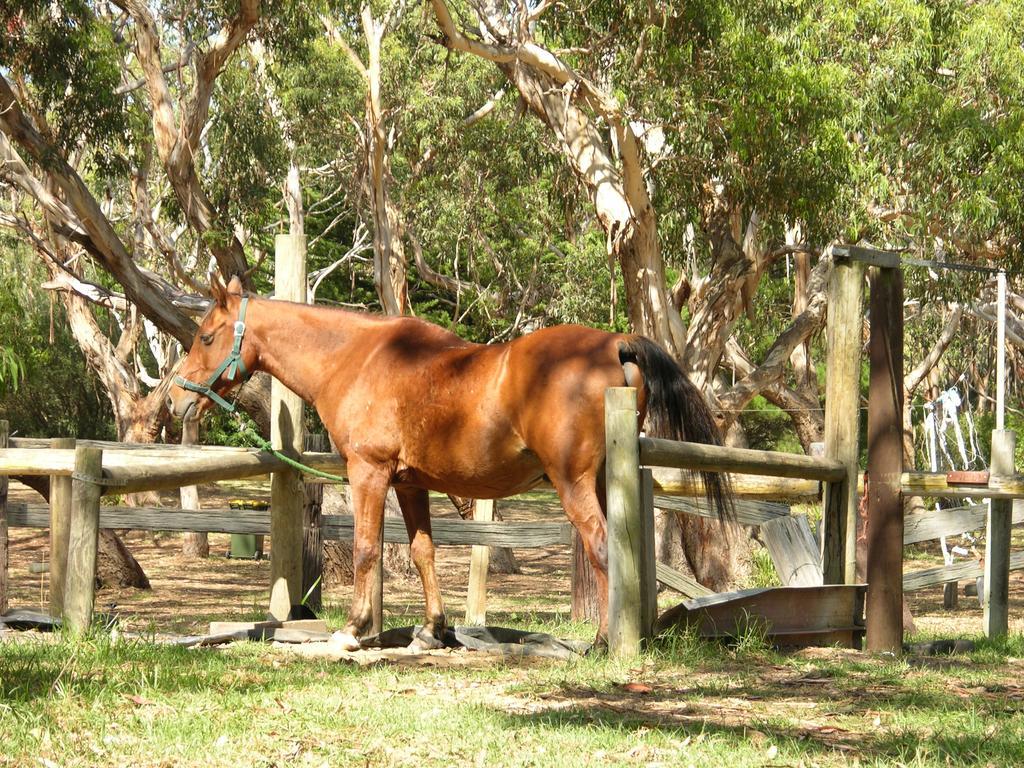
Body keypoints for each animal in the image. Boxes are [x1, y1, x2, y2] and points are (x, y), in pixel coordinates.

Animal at [167, 276, 729, 651]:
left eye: (206, 336)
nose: (175, 400)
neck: (356, 359)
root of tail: (613, 343)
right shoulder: (409, 483)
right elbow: (423, 552)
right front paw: (430, 631)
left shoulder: (368, 472)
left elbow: (367, 549)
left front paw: (352, 632)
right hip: (606, 483)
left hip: (574, 485)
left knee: (602, 549)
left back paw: (603, 642)